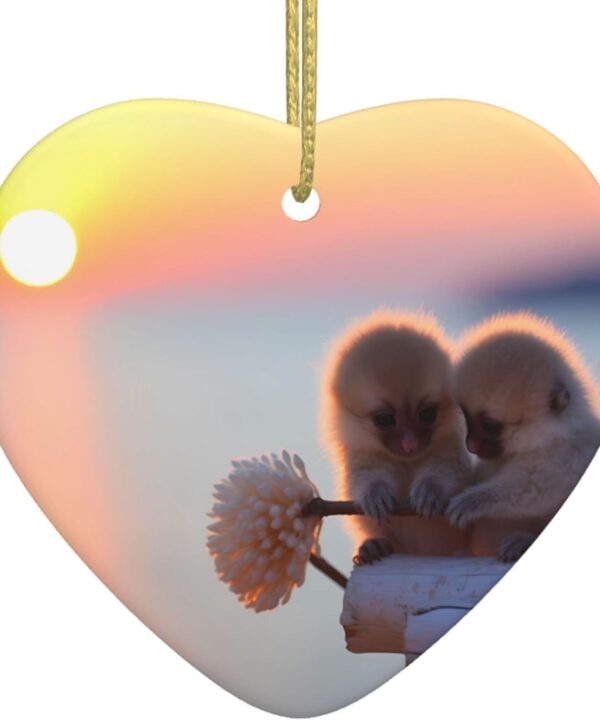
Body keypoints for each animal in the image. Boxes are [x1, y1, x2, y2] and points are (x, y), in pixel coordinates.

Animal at [321, 310, 473, 564]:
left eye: (427, 414)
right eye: (385, 419)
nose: (410, 445)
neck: (406, 462)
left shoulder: (450, 446)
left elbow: (452, 471)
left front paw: (429, 490)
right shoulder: (361, 452)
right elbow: (363, 479)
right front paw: (375, 494)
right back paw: (374, 547)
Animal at [446, 311, 600, 562]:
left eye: (490, 426)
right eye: (466, 417)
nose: (471, 445)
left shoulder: (568, 451)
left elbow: (542, 486)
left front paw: (473, 501)